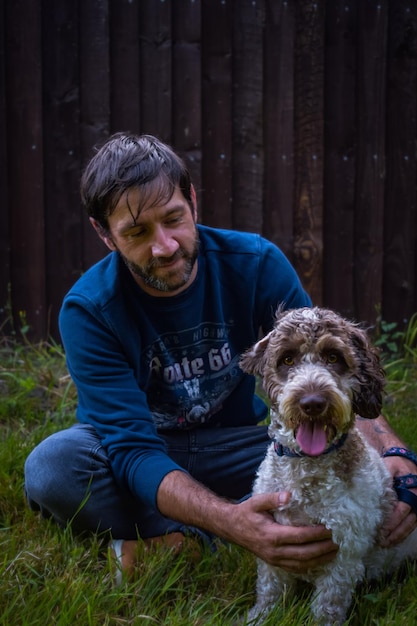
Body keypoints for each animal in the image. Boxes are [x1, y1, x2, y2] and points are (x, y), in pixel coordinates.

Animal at [239, 308, 416, 624]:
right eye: (287, 359)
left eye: (334, 357)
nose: (312, 403)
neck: (307, 468)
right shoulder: (272, 545)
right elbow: (270, 589)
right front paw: (260, 617)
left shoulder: (344, 554)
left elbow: (328, 605)